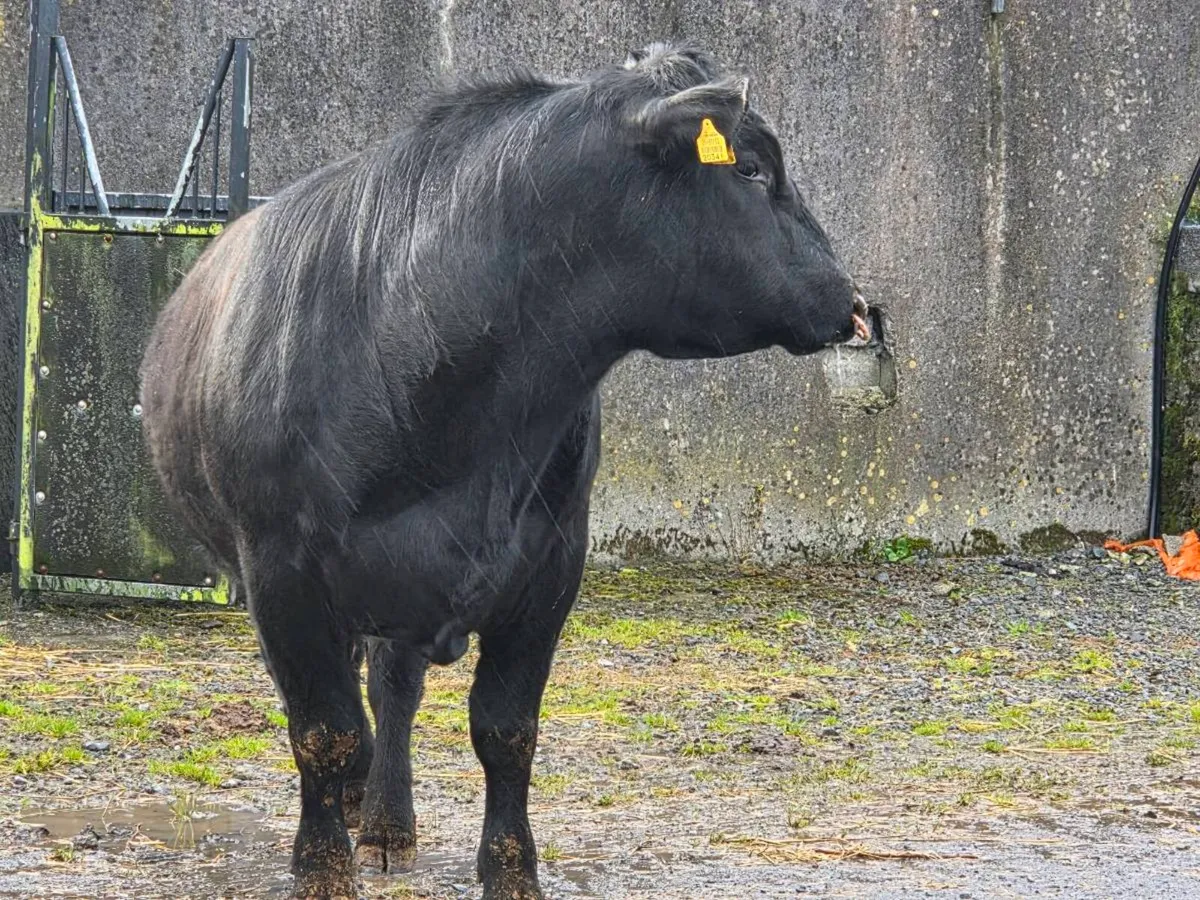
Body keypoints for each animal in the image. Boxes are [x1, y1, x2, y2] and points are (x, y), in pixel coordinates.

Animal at [139, 41, 872, 900]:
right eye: (752, 170)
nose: (851, 301)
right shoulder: (282, 574)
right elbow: (321, 732)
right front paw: (322, 871)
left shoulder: (550, 569)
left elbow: (506, 731)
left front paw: (512, 872)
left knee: (393, 685)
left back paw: (386, 823)